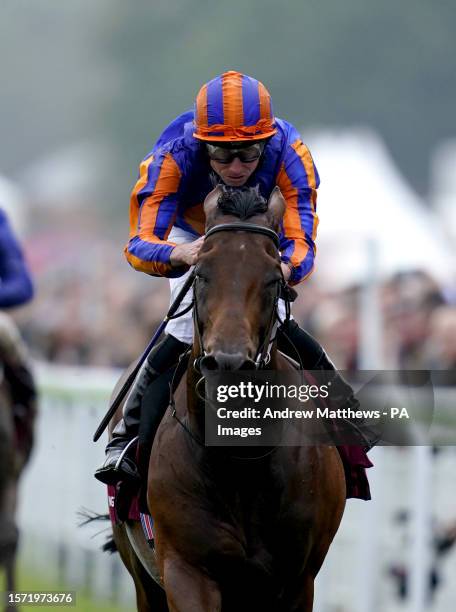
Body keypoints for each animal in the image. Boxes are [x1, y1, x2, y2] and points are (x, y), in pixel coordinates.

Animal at [112, 186, 344, 612]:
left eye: (272, 279)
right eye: (201, 273)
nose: (227, 363)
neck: (240, 461)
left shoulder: (296, 581)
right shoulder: (187, 570)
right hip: (142, 576)